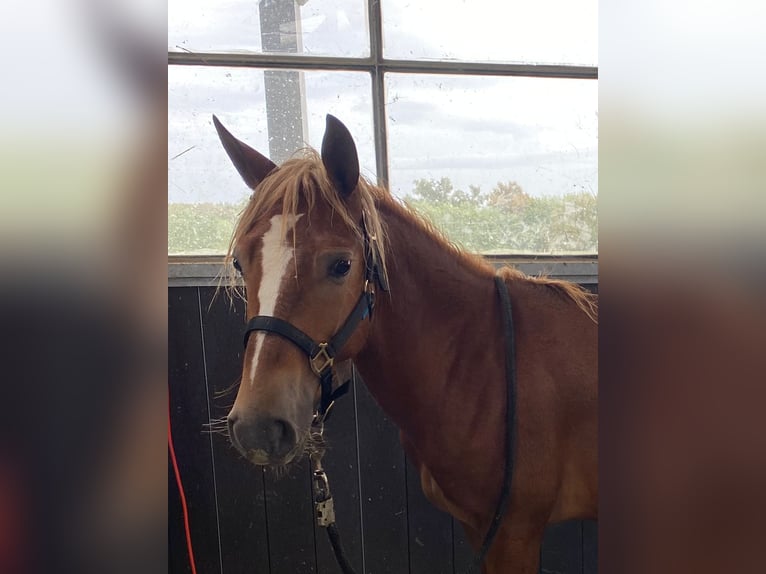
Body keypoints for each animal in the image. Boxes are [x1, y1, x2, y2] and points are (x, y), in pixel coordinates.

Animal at [216, 113, 600, 574]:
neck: (484, 364)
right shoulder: (481, 529)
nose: (258, 427)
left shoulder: (515, 534)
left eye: (341, 264)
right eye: (241, 262)